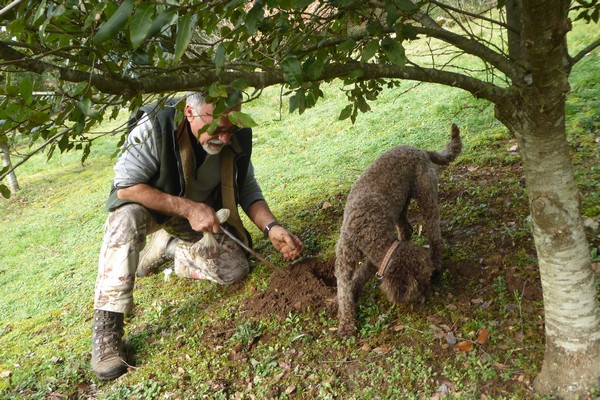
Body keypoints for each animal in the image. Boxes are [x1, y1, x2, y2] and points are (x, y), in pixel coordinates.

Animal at [336, 123, 462, 336]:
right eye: (420, 285)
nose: (424, 299)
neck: (366, 229)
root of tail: (420, 150)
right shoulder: (346, 260)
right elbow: (344, 289)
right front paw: (346, 321)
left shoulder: (373, 259)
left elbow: (359, 275)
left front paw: (353, 293)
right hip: (402, 204)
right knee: (410, 229)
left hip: (426, 196)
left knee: (434, 235)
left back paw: (437, 262)